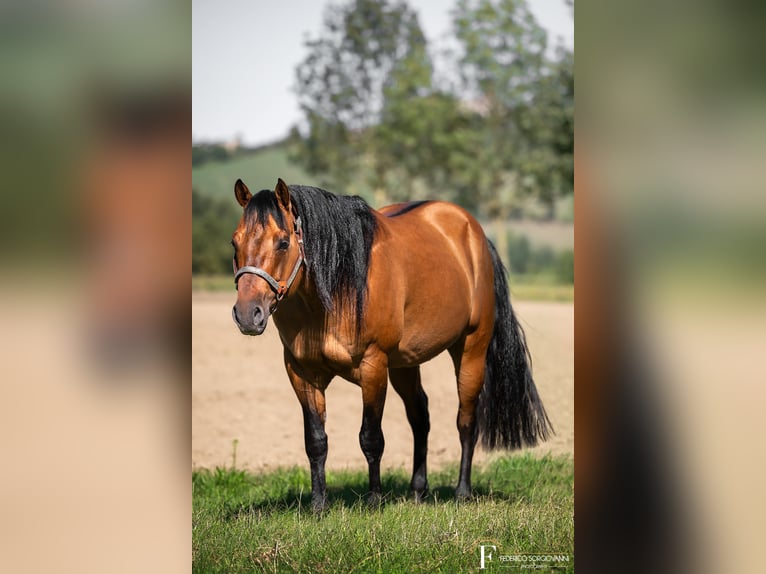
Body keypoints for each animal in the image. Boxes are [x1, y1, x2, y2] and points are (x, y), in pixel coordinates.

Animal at [228, 178, 552, 510]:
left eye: (282, 242)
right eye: (234, 243)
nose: (248, 314)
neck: (338, 287)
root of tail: (476, 235)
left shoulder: (373, 366)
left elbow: (371, 437)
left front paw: (374, 501)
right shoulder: (301, 372)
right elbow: (316, 440)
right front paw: (318, 505)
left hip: (471, 349)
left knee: (466, 420)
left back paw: (462, 492)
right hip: (405, 364)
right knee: (420, 417)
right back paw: (418, 491)